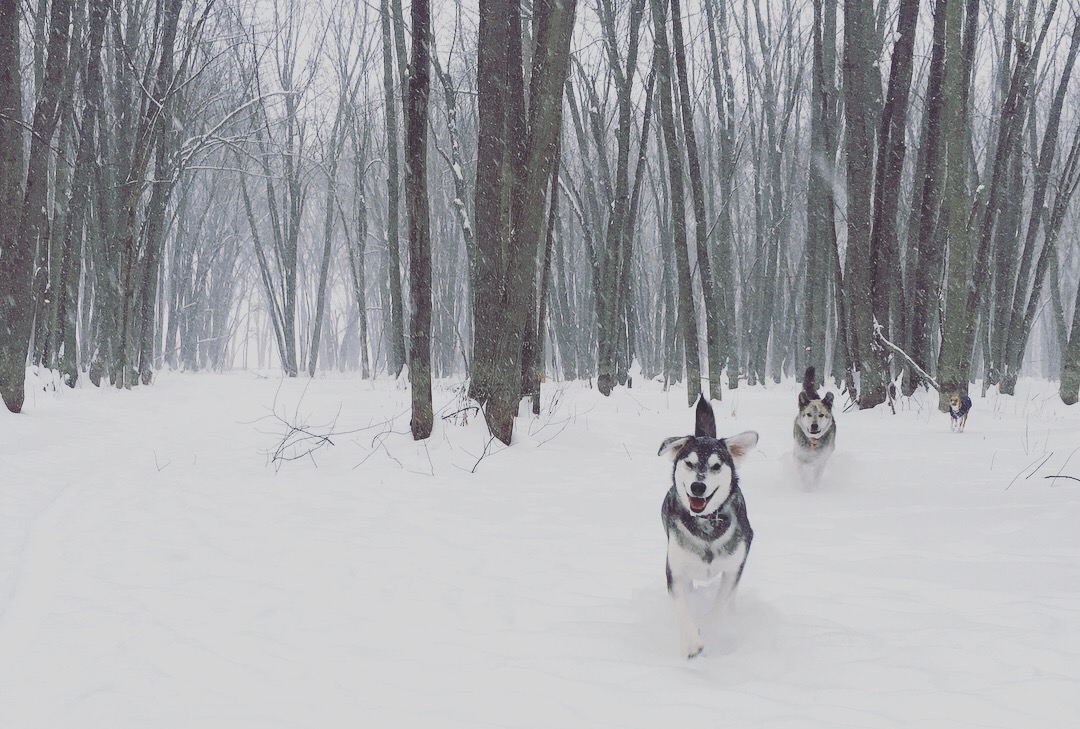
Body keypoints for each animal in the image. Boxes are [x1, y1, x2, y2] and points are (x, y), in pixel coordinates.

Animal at [656, 397, 760, 656]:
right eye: (689, 462)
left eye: (716, 466)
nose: (698, 487)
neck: (706, 524)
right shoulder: (675, 569)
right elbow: (682, 606)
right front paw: (691, 641)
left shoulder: (733, 568)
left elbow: (720, 603)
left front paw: (706, 624)